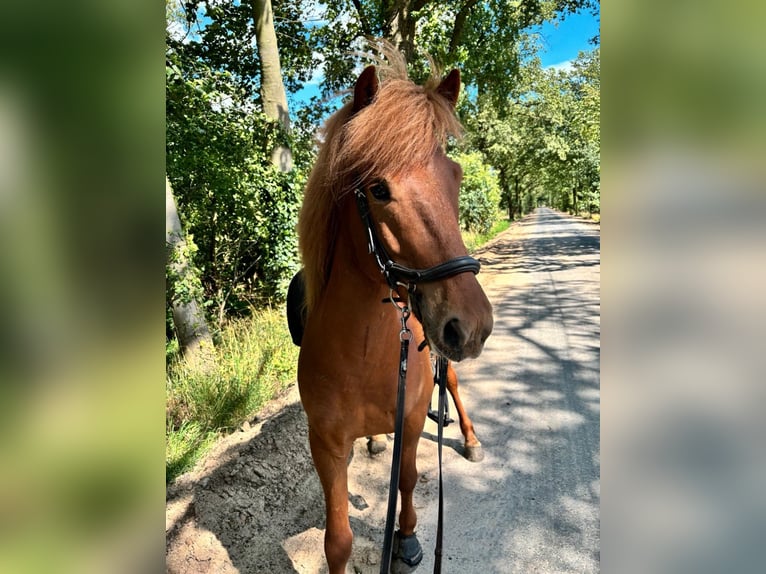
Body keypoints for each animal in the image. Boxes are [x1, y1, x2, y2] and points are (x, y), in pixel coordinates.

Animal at [293, 47, 493, 574]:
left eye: (455, 178)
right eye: (378, 189)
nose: (473, 325)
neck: (366, 353)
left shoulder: (413, 417)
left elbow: (407, 478)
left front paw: (406, 537)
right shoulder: (325, 447)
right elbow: (337, 540)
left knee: (454, 384)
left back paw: (470, 438)